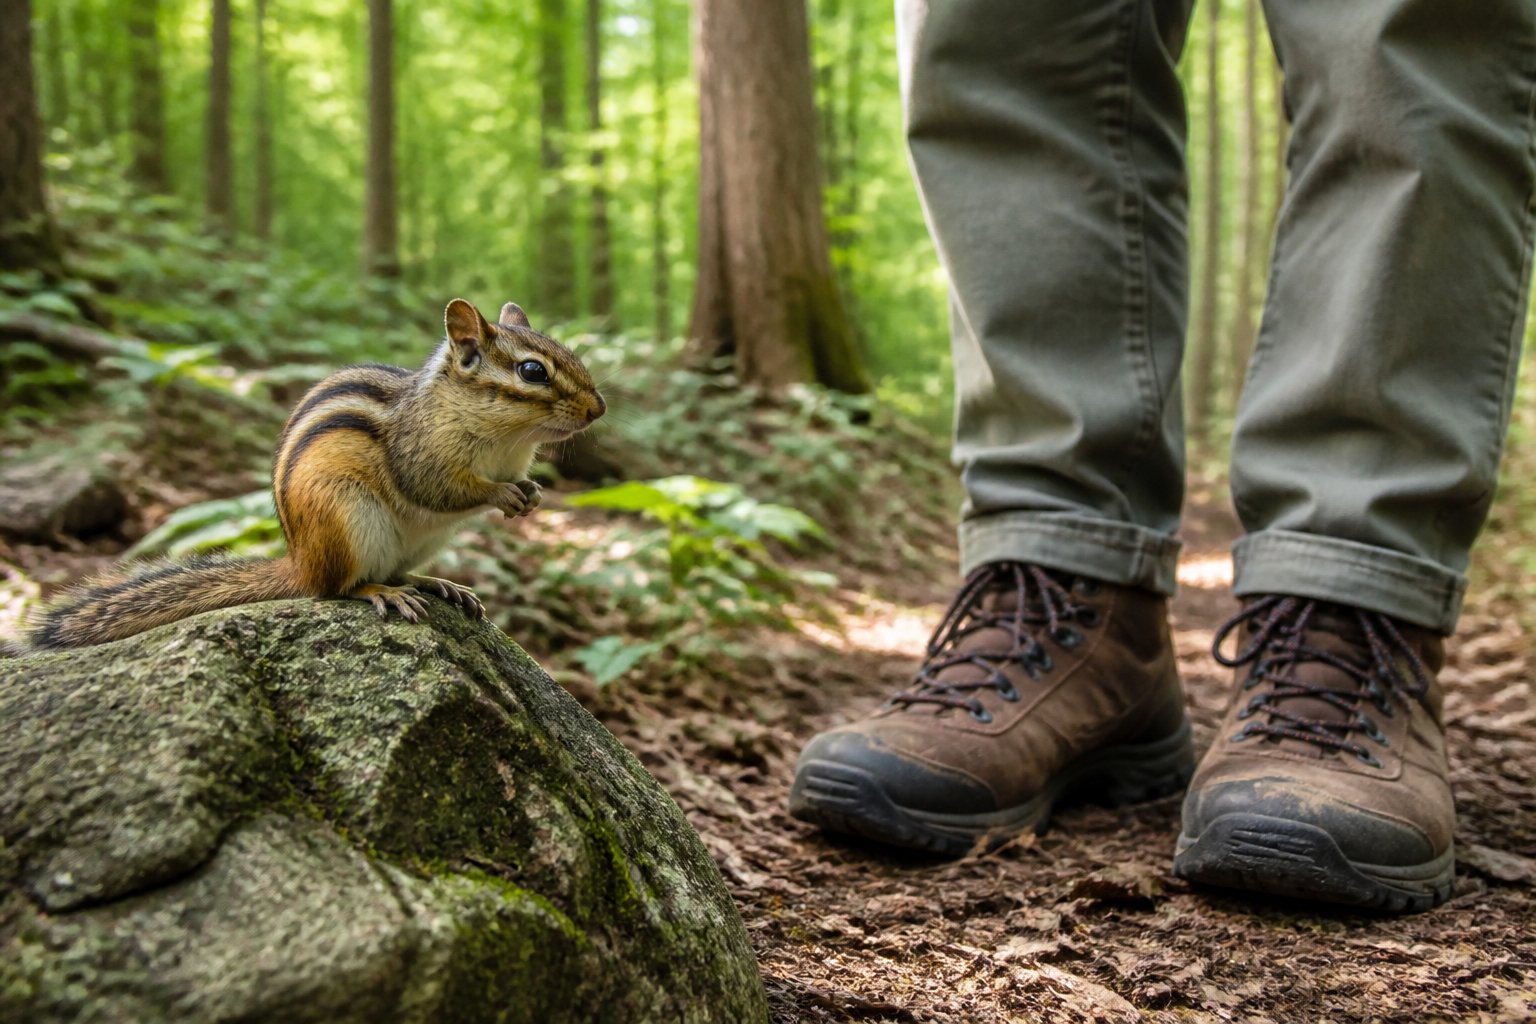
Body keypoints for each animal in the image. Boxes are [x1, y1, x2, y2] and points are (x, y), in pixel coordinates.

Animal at [28, 298, 605, 650]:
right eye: (532, 371)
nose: (599, 409)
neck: (509, 440)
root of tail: (300, 562)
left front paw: (532, 492)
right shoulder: (420, 454)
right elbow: (440, 488)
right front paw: (503, 494)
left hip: (420, 541)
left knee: (398, 570)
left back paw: (436, 583)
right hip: (348, 517)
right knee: (338, 588)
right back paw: (379, 592)